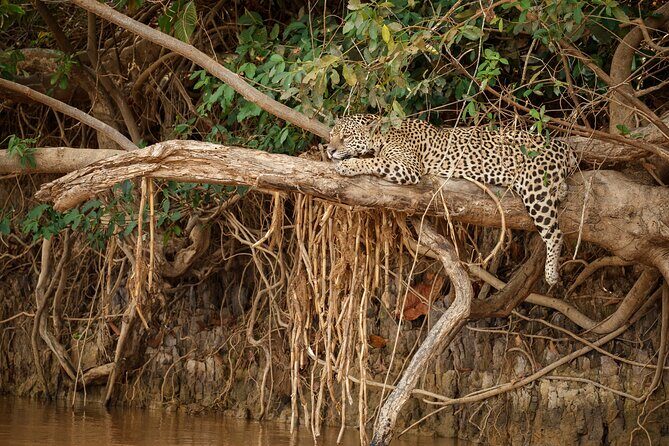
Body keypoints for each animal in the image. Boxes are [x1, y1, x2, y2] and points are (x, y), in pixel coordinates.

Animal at [327, 114, 578, 286]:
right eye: (331, 135)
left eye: (346, 137)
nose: (329, 150)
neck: (382, 135)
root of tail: (564, 145)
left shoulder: (408, 168)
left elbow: (375, 161)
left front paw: (348, 165)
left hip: (535, 189)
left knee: (555, 234)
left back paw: (551, 274)